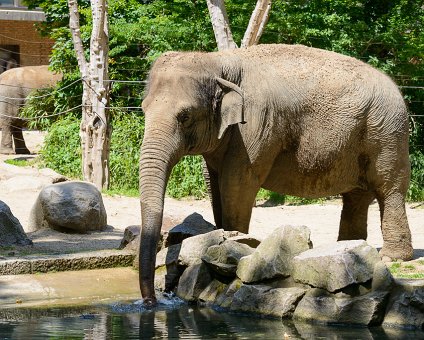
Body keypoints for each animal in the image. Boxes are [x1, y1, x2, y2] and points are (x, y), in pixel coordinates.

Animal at [139, 43, 414, 306]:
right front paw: (222, 237)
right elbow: (216, 185)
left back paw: (392, 256)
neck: (219, 62)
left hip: (387, 134)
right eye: (143, 109)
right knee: (356, 196)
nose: (151, 302)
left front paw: (237, 243)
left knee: (389, 189)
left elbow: (237, 184)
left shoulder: (256, 124)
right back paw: (347, 247)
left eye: (184, 116)